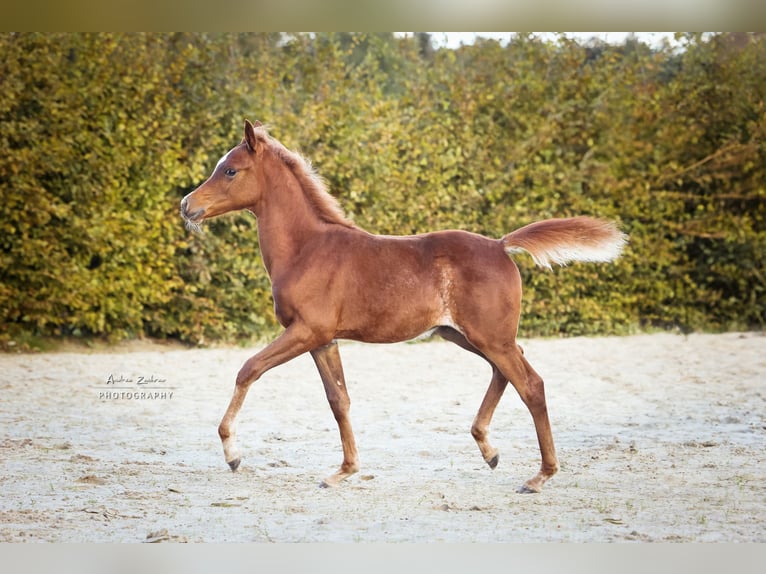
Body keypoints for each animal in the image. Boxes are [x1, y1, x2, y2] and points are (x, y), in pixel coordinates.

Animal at [183, 118, 628, 496]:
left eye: (230, 171)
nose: (187, 205)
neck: (306, 248)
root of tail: (501, 245)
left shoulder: (305, 331)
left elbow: (248, 369)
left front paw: (233, 454)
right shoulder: (323, 340)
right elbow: (338, 400)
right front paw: (343, 471)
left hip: (488, 336)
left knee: (531, 384)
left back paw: (540, 476)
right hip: (467, 336)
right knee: (505, 372)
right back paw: (489, 450)